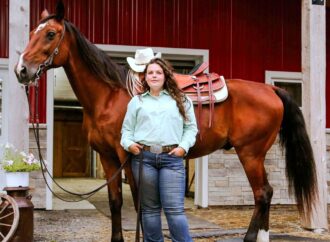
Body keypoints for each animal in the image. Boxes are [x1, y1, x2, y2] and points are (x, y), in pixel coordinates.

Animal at [14, 1, 318, 242]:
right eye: (30, 34)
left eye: (51, 34)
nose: (21, 70)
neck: (109, 96)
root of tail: (271, 90)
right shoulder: (108, 158)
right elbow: (115, 203)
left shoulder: (128, 156)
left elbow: (139, 202)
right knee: (265, 194)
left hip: (251, 153)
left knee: (263, 193)